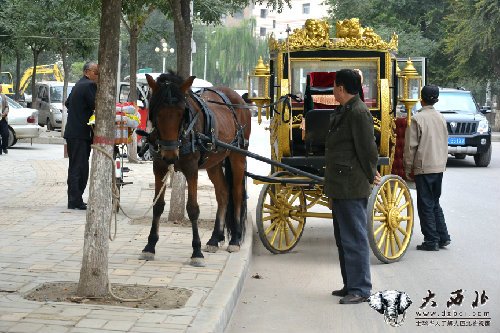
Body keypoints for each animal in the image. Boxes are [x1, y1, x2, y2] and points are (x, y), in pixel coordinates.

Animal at [139, 71, 252, 266]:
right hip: (214, 162)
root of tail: (238, 98)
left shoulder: (191, 169)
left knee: (237, 193)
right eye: (157, 113)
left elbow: (192, 208)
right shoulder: (159, 167)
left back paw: (235, 240)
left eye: (181, 113)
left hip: (238, 155)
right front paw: (150, 246)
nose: (170, 155)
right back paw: (215, 238)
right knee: (223, 193)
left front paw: (196, 251)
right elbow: (158, 206)